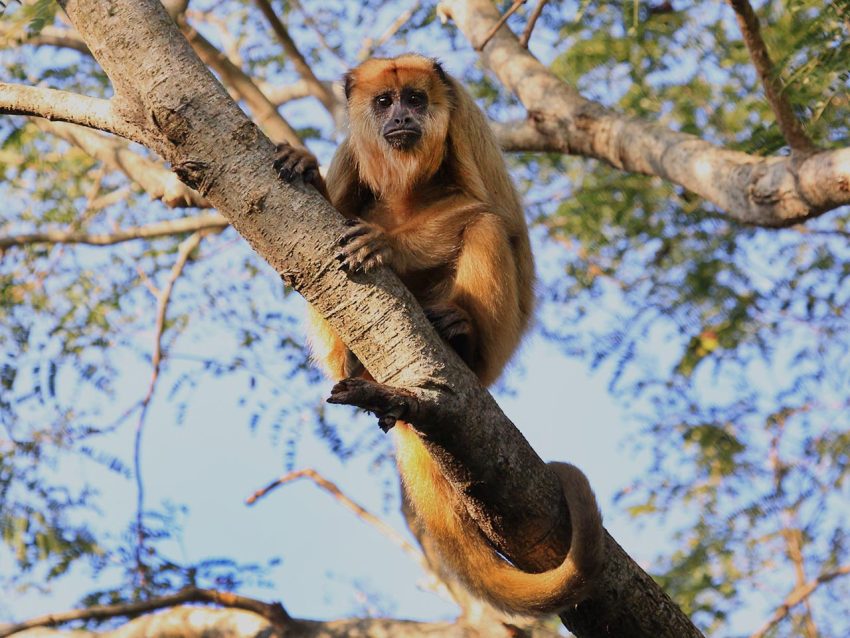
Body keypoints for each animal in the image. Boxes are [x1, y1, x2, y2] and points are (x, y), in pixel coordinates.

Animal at [275, 54, 604, 615]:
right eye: (384, 101)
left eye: (415, 98)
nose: (402, 117)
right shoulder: (350, 152)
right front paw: (307, 170)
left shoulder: (466, 120)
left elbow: (492, 212)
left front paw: (386, 244)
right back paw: (356, 365)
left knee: (486, 226)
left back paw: (459, 333)